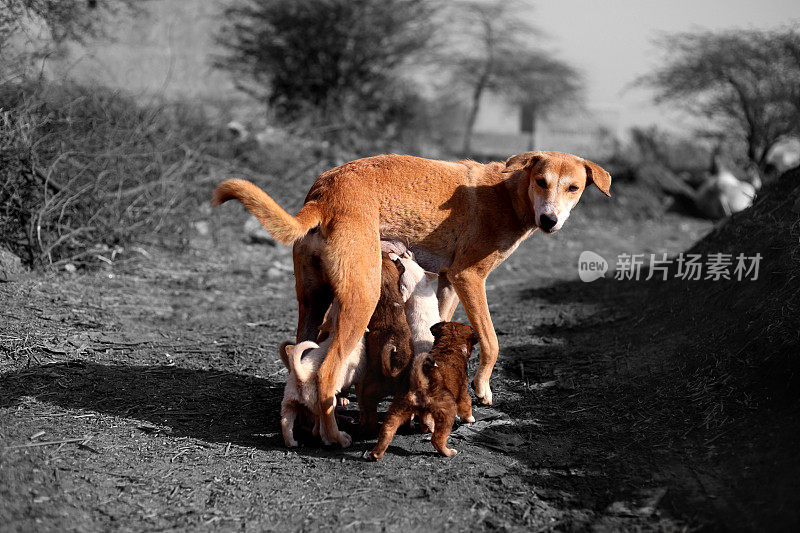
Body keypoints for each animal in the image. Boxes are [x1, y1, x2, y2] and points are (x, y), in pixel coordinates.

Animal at [212, 150, 612, 444]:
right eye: (541, 182)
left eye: (574, 187)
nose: (549, 221)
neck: (506, 194)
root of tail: (325, 192)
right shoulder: (469, 278)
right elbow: (492, 341)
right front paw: (482, 388)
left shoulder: (448, 281)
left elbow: (441, 324)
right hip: (361, 299)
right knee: (326, 371)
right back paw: (333, 436)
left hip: (313, 302)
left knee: (300, 358)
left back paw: (309, 425)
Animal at [366, 320, 478, 462]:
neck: (450, 343)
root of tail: (420, 382)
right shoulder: (463, 393)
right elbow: (467, 406)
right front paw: (471, 419)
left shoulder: (424, 411)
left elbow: (425, 419)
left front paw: (427, 427)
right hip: (448, 411)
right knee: (437, 439)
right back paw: (449, 452)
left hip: (397, 410)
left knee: (386, 432)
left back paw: (375, 454)